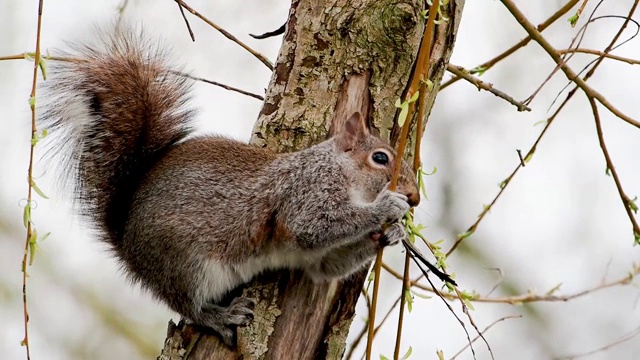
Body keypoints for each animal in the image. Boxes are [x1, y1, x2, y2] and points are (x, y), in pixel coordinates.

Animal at [40, 25, 420, 346]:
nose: (414, 197)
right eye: (381, 158)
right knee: (188, 305)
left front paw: (391, 233)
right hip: (183, 263)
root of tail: (126, 239)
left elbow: (326, 267)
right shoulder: (304, 192)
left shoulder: (316, 258)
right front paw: (388, 207)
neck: (342, 172)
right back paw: (219, 316)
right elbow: (315, 226)